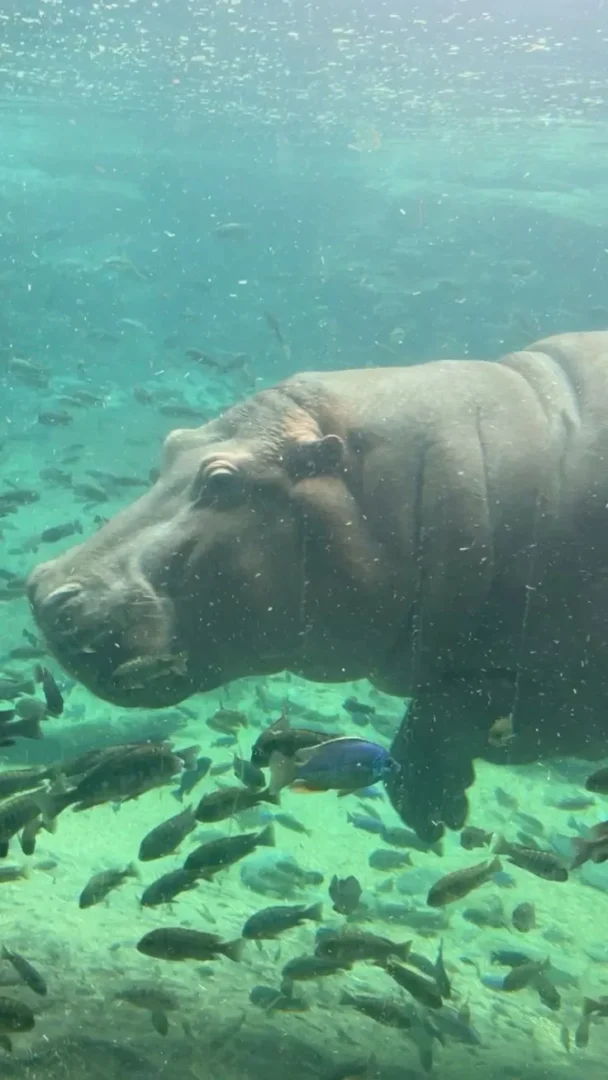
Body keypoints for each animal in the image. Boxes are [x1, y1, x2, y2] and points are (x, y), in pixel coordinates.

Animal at [27, 331, 608, 841]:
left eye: (222, 483)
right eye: (173, 443)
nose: (42, 589)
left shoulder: (558, 692)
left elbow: (444, 715)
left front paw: (431, 810)